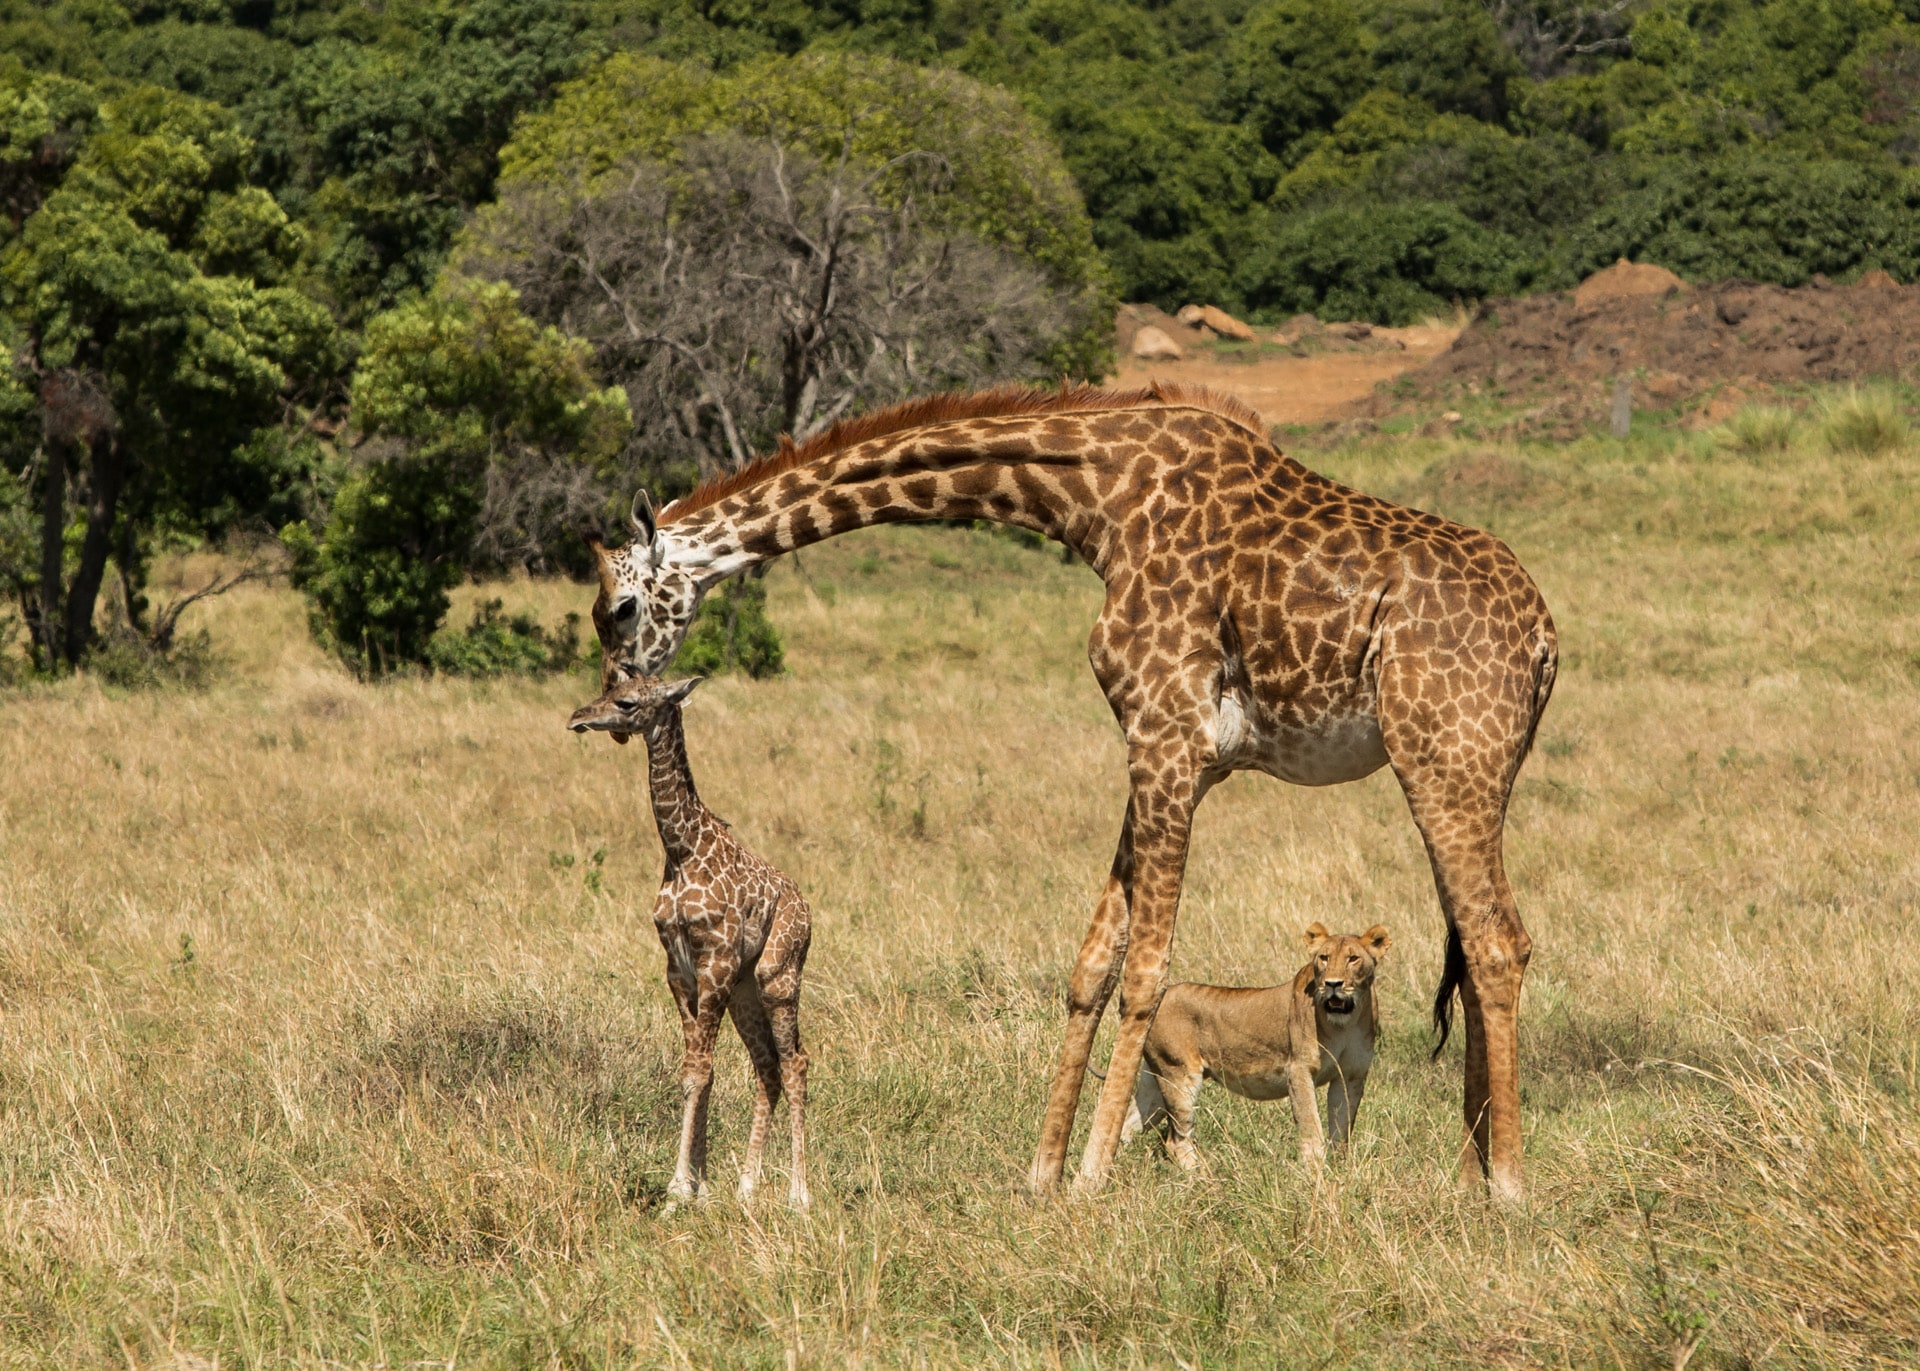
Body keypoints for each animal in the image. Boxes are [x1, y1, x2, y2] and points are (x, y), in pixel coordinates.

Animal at [564, 672, 814, 1205]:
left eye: (626, 702)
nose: (578, 717)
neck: (681, 849)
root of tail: (809, 912)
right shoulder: (679, 971)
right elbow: (697, 1070)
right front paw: (697, 1185)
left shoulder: (713, 963)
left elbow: (699, 1069)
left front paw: (679, 1190)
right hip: (744, 991)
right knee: (767, 1067)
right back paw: (746, 1188)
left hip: (777, 976)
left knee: (796, 1062)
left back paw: (798, 1195)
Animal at [587, 382, 1559, 1198]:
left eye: (618, 609)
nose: (617, 699)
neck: (1097, 499)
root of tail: (1547, 640)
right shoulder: (1170, 751)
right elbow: (1094, 961)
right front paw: (1042, 1170)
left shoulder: (1168, 736)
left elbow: (1146, 969)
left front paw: (1090, 1173)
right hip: (1473, 771)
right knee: (1479, 944)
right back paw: (1467, 1174)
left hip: (1445, 760)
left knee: (1499, 942)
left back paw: (1509, 1184)